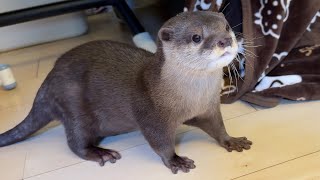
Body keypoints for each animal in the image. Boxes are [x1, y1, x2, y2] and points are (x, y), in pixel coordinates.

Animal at [0, 10, 252, 173]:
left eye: (226, 27)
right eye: (196, 37)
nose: (225, 40)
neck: (189, 98)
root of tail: (47, 81)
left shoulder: (208, 108)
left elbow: (216, 126)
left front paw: (231, 140)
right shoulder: (151, 115)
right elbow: (159, 141)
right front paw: (175, 160)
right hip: (71, 102)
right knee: (75, 141)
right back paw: (100, 152)